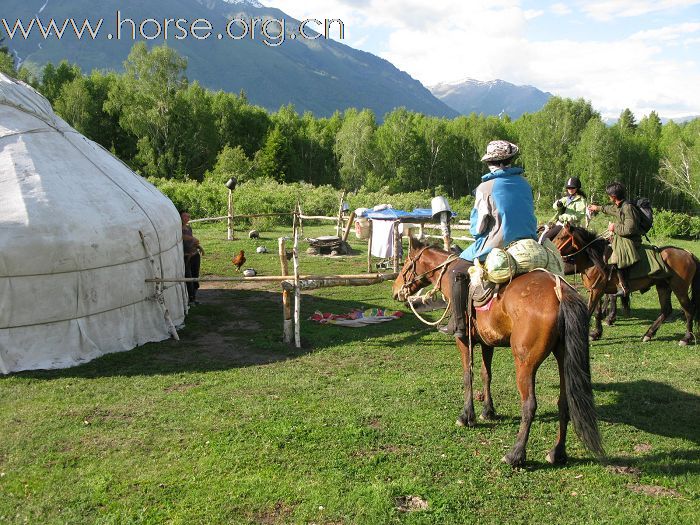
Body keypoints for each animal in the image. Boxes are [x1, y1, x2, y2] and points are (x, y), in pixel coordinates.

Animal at [392, 237, 604, 466]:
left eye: (406, 263)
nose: (396, 290)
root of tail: (560, 293)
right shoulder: (487, 343)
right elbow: (486, 375)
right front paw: (488, 411)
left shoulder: (463, 342)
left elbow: (468, 376)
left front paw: (466, 416)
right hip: (563, 356)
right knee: (564, 403)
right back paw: (557, 452)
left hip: (525, 363)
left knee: (529, 405)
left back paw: (515, 454)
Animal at [552, 224, 700, 344]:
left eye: (561, 237)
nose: (551, 248)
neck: (595, 260)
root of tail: (689, 254)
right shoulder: (597, 290)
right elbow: (597, 312)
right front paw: (596, 333)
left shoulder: (597, 291)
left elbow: (589, 311)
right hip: (663, 286)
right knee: (666, 310)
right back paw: (649, 334)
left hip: (679, 288)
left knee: (688, 310)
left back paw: (686, 338)